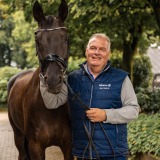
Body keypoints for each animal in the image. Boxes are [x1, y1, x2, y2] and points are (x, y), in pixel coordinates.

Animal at [7, 0, 73, 159]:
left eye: (65, 38)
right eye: (37, 40)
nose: (53, 81)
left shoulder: (69, 146)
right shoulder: (35, 147)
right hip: (19, 137)